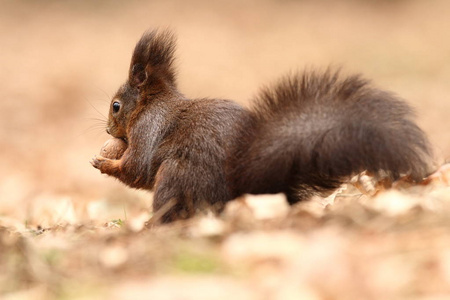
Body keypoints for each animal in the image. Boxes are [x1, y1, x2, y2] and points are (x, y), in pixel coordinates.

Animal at [90, 29, 432, 223]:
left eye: (116, 106)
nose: (107, 131)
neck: (151, 104)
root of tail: (244, 189)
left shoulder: (147, 129)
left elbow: (137, 169)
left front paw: (104, 163)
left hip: (176, 176)